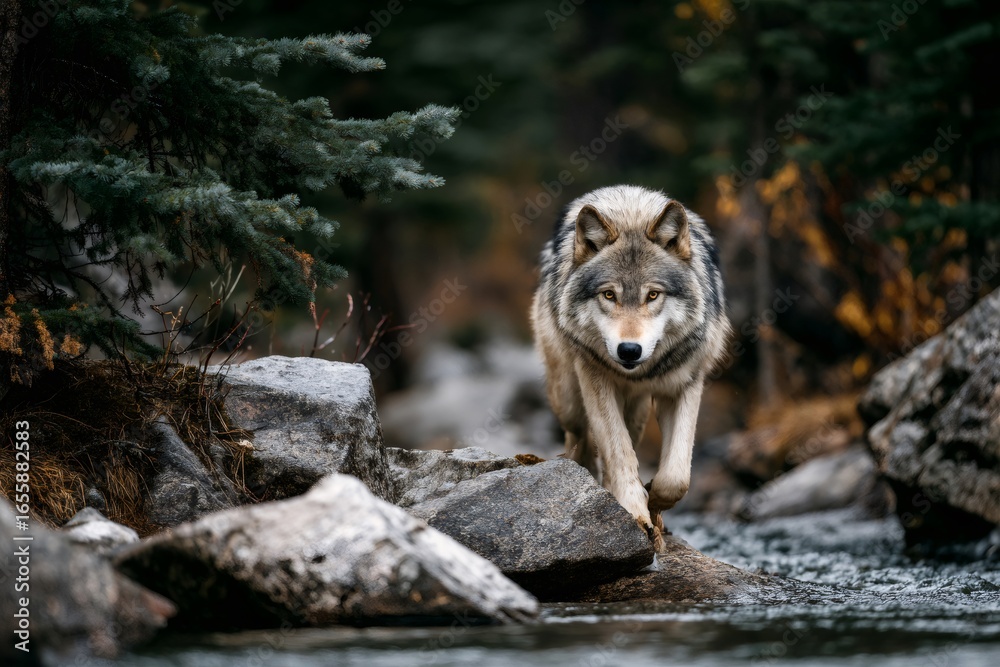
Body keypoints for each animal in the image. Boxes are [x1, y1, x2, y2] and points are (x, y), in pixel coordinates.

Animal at [531, 185, 730, 548]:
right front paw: (636, 512)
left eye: (653, 295)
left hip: (637, 411)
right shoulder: (595, 379)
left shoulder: (686, 385)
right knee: (581, 436)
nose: (628, 350)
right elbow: (617, 450)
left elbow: (676, 476)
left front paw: (655, 504)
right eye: (609, 295)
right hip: (567, 397)